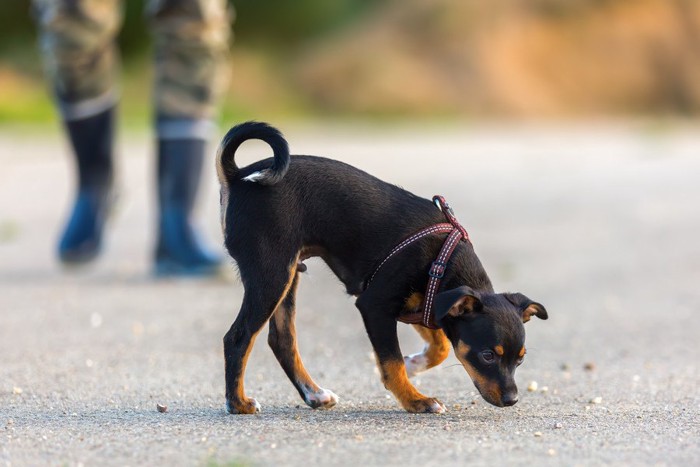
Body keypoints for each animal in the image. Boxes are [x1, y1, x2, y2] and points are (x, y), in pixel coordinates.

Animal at [215, 122, 548, 414]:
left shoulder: (423, 304)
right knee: (238, 337)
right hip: (272, 275)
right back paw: (238, 403)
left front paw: (415, 365)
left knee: (282, 340)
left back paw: (314, 394)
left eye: (520, 360)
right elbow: (392, 361)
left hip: (288, 276)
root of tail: (238, 176)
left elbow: (439, 346)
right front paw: (416, 400)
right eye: (488, 355)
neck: (442, 258)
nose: (512, 400)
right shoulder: (376, 306)